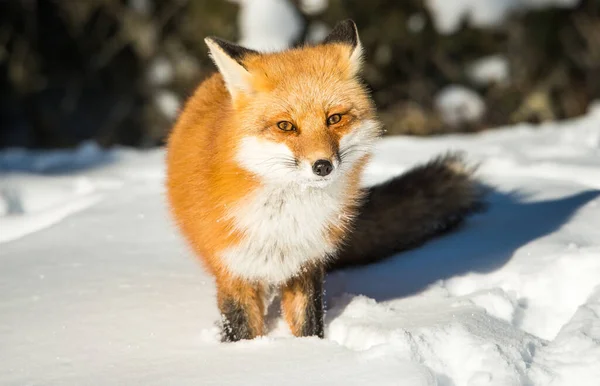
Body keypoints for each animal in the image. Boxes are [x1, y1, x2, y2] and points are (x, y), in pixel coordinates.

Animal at [166, 19, 486, 342]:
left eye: (334, 119)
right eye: (285, 126)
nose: (322, 166)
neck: (285, 218)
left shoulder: (306, 266)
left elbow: (309, 326)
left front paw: (312, 352)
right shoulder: (234, 269)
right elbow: (242, 330)